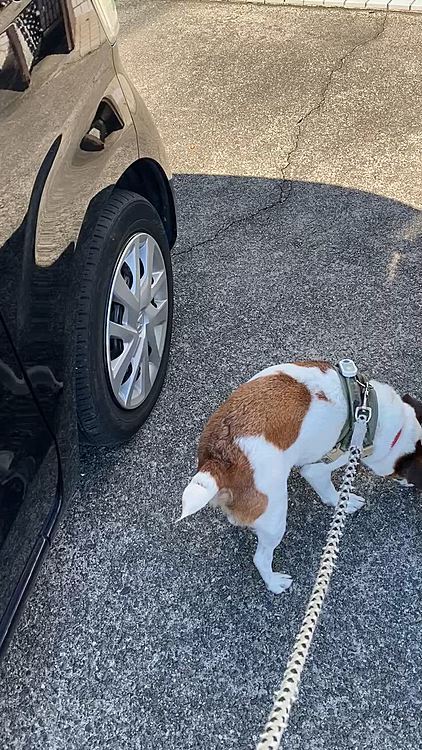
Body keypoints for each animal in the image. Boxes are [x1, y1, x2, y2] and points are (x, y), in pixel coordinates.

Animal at [180, 362, 422, 592]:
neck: (370, 415)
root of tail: (220, 456)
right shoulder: (319, 468)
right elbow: (332, 493)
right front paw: (344, 502)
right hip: (276, 516)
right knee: (261, 558)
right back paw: (274, 582)